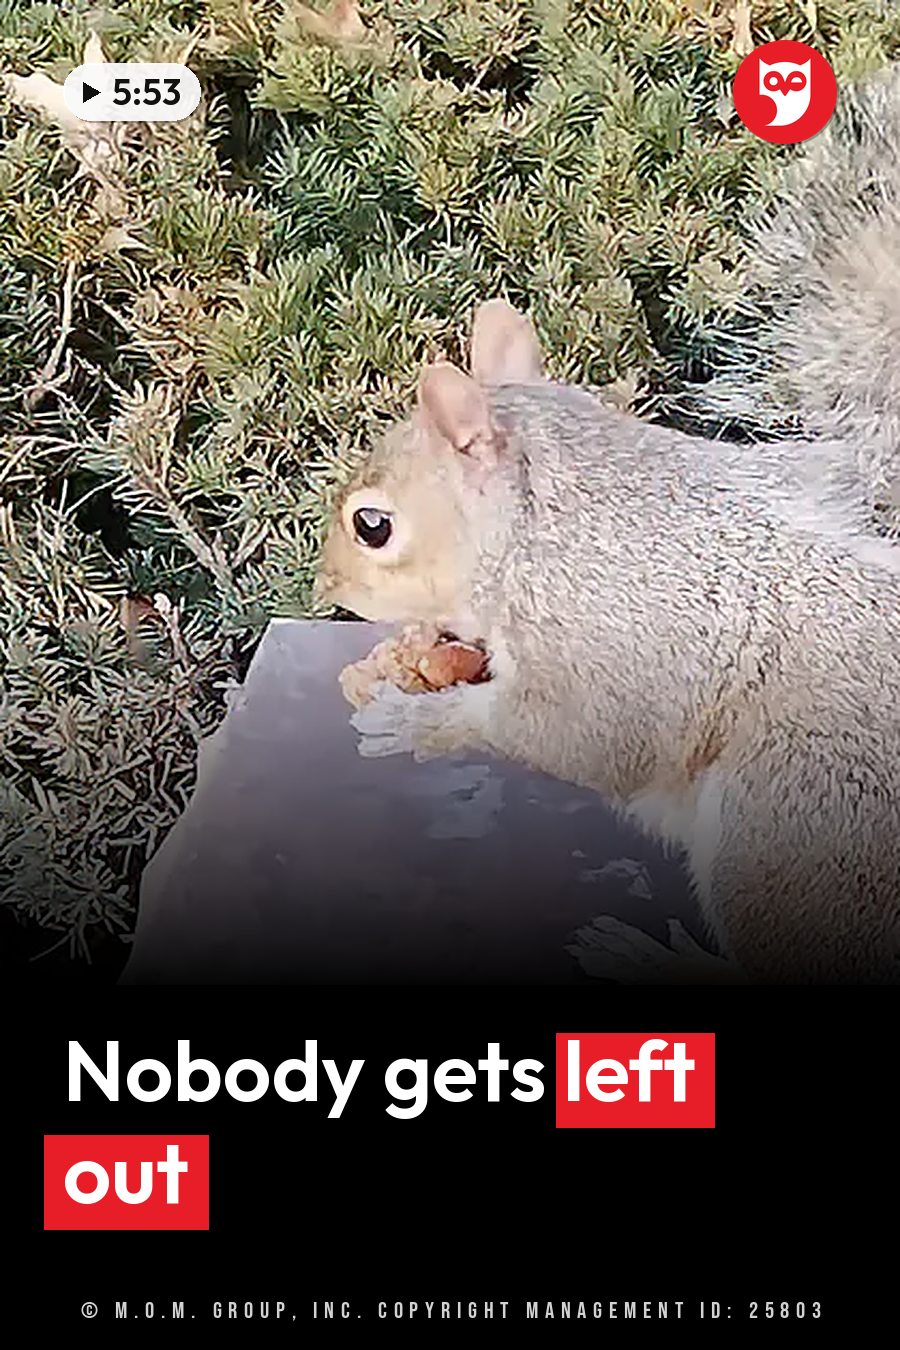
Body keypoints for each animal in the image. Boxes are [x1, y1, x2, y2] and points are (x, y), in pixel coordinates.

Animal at [316, 67, 900, 986]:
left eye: (372, 526)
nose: (324, 586)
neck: (548, 529)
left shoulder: (614, 636)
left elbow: (578, 735)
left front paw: (418, 723)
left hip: (795, 823)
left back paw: (652, 957)